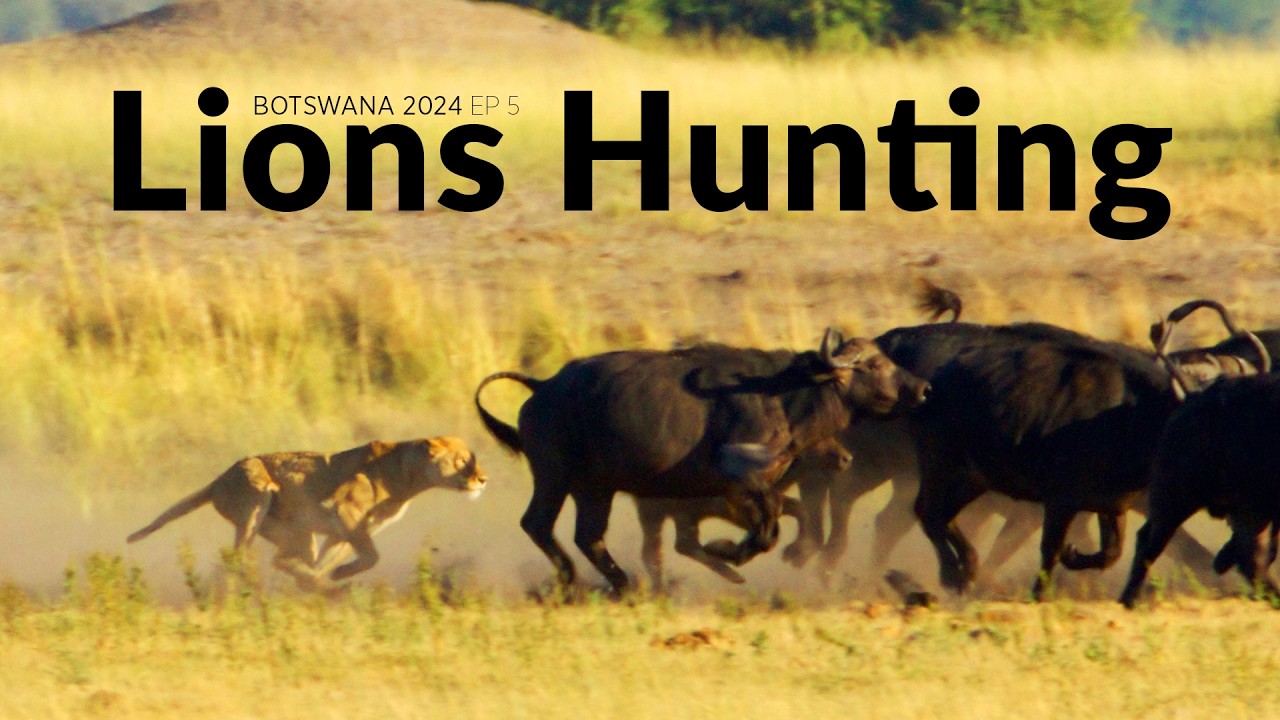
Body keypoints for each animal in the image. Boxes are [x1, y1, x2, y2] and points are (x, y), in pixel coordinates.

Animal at [126, 436, 487, 590]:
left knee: (283, 559)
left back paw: (314, 586)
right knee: (240, 558)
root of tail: (217, 481)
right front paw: (337, 577)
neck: (407, 474)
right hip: (256, 495)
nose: (483, 479)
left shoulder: (350, 529)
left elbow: (334, 559)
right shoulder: (346, 512)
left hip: (297, 532)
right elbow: (371, 556)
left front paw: (329, 577)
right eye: (462, 461)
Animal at [474, 330, 930, 593]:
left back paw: (623, 584)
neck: (782, 394)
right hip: (554, 477)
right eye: (875, 364)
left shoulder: (752, 490)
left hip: (595, 488)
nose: (923, 388)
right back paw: (573, 579)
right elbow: (766, 530)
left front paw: (790, 554)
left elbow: (791, 518)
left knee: (589, 535)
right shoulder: (741, 487)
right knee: (538, 524)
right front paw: (728, 551)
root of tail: (542, 386)